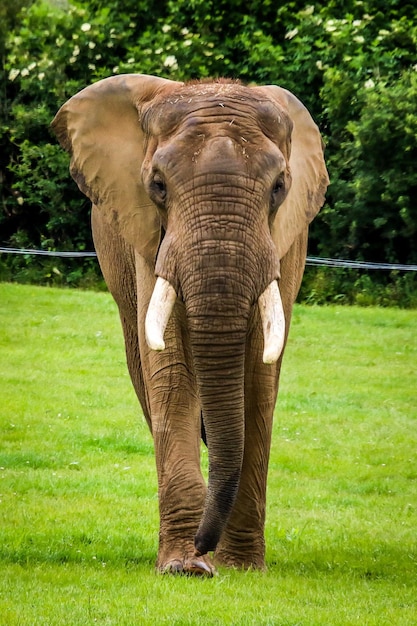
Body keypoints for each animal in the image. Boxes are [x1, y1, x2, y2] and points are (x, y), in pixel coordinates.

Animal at [51, 73, 328, 576]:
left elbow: (259, 375)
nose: (203, 547)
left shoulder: (285, 243)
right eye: (157, 186)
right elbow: (172, 367)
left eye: (279, 187)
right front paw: (186, 567)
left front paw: (240, 567)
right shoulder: (148, 235)